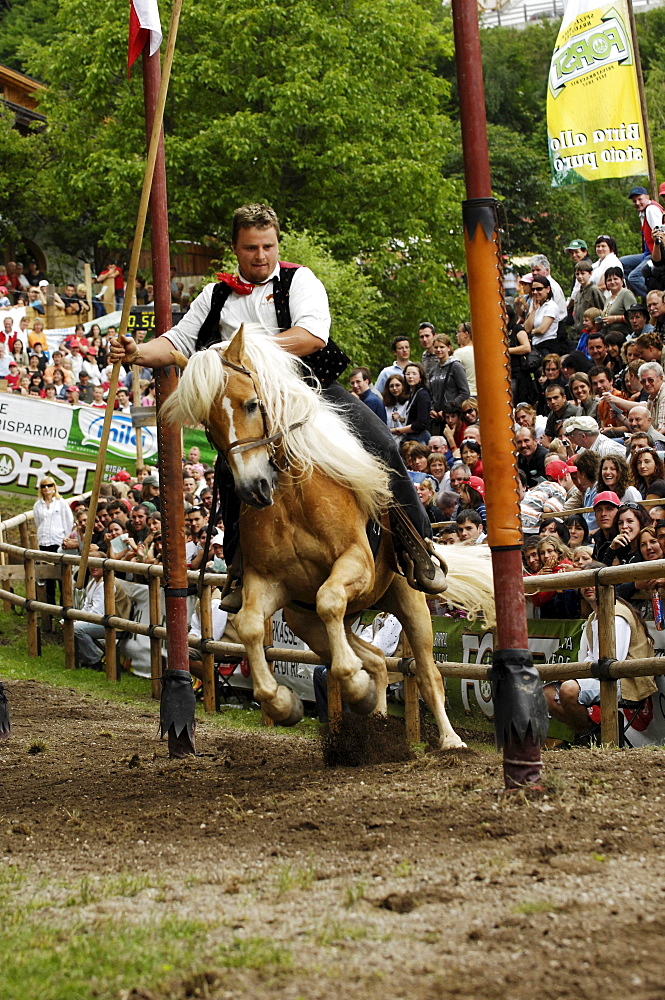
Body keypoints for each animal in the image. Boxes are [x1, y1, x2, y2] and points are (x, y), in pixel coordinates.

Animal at [163, 328, 490, 752]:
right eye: (208, 423)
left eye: (252, 404)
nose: (254, 487)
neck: (291, 498)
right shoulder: (267, 582)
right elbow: (251, 625)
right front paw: (284, 703)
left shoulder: (355, 563)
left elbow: (330, 599)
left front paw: (351, 682)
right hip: (311, 622)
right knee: (375, 660)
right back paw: (374, 715)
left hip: (409, 601)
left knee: (428, 674)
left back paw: (450, 739)